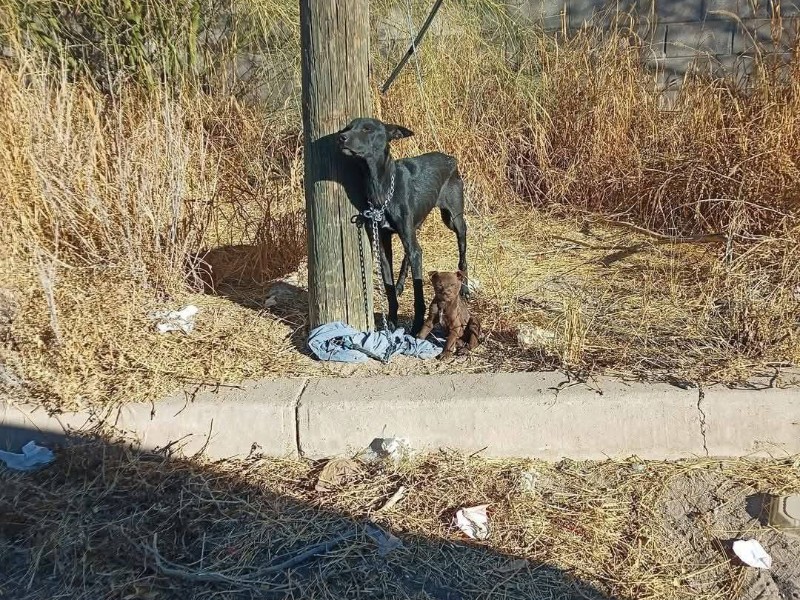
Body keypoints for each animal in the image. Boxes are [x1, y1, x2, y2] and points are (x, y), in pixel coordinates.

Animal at [340, 116, 468, 332]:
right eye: (347, 127)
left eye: (367, 129)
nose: (341, 138)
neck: (381, 188)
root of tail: (450, 158)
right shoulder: (382, 244)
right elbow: (389, 287)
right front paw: (391, 319)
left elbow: (418, 291)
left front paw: (416, 325)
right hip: (415, 227)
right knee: (409, 255)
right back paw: (400, 285)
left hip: (454, 220)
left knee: (461, 251)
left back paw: (465, 286)